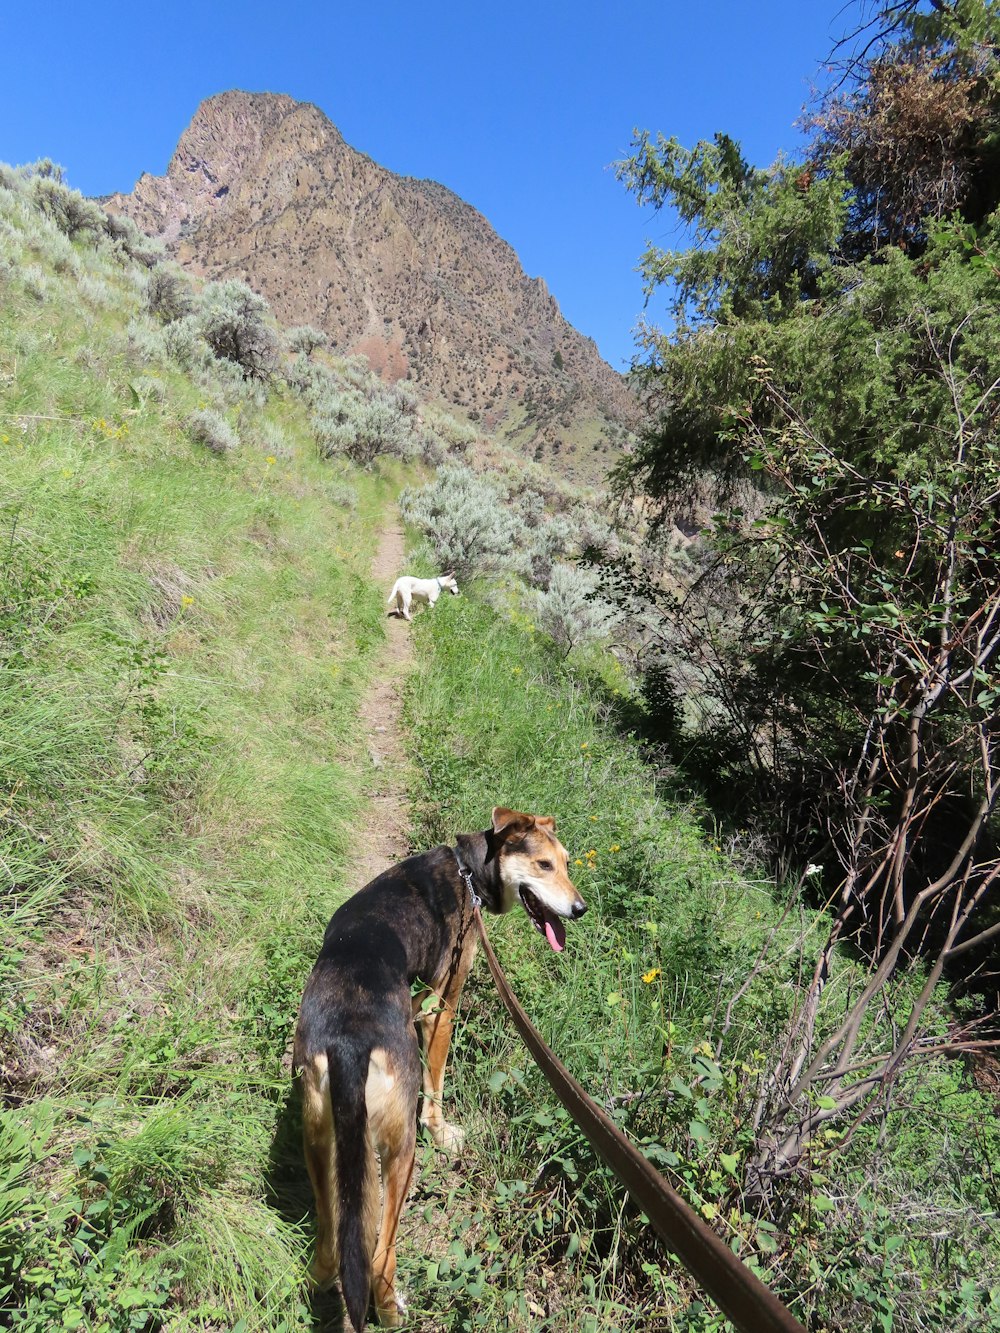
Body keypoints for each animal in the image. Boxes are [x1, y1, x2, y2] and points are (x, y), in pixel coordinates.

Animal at [289, 805, 586, 1327]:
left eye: (567, 863)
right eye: (545, 865)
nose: (580, 908)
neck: (470, 868)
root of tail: (348, 1044)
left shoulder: (424, 1000)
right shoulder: (444, 1003)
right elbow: (437, 1078)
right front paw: (443, 1131)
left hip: (320, 1142)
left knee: (329, 1251)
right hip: (398, 1152)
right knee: (379, 1257)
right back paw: (392, 1313)